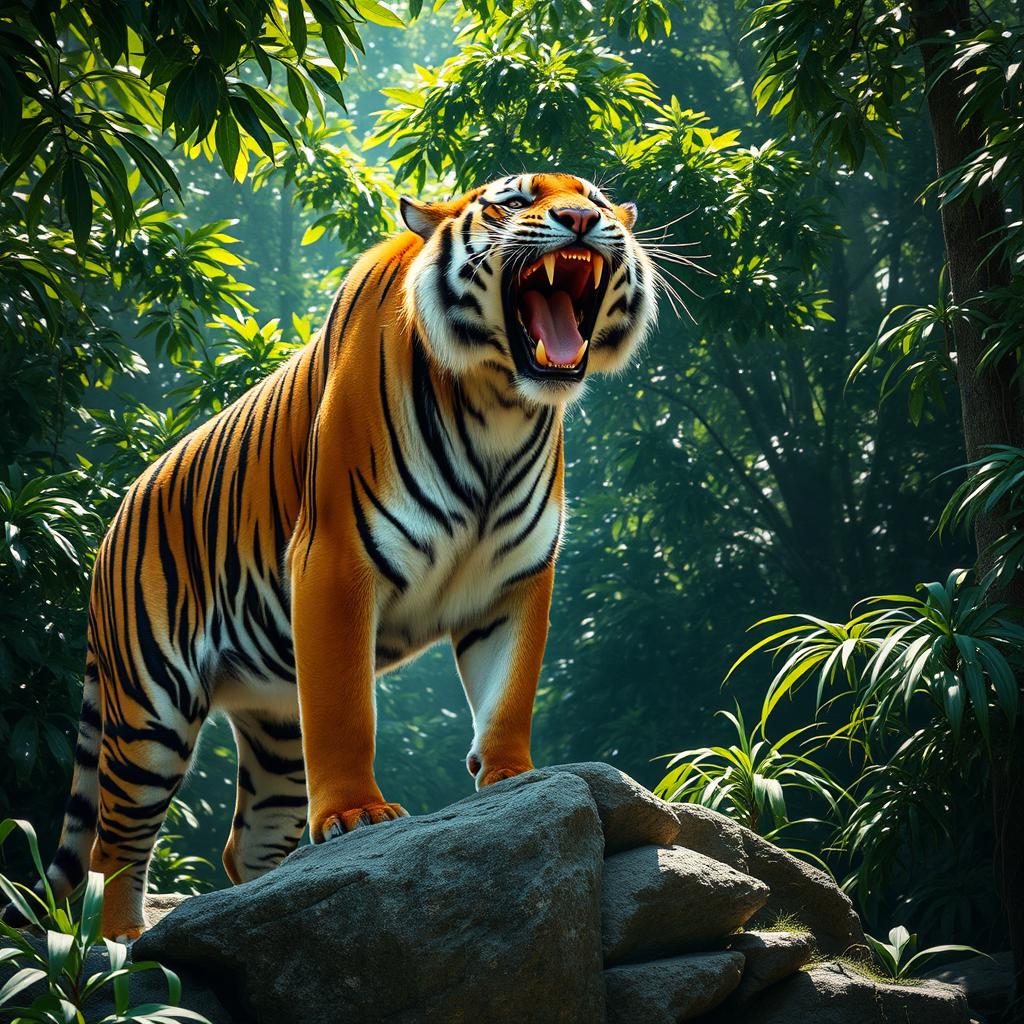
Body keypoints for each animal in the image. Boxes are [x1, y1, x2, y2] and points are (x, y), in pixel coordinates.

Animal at [39, 172, 657, 939]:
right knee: (114, 843)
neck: (499, 404)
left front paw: (513, 776)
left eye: (597, 203)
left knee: (246, 843)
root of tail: (110, 520)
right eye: (514, 201)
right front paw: (358, 815)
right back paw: (128, 942)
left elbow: (509, 691)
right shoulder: (334, 560)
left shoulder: (514, 578)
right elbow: (345, 711)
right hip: (149, 707)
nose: (578, 220)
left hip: (274, 726)